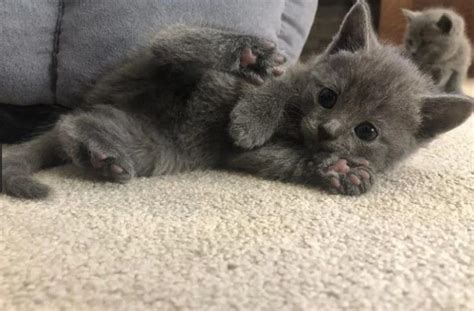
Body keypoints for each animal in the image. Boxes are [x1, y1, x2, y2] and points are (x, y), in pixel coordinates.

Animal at [1, 0, 472, 200]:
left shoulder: (248, 157)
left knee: (72, 128)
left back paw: (102, 156)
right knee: (170, 42)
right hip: (149, 66)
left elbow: (280, 158)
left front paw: (338, 170)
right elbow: (274, 91)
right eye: (327, 97)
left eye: (367, 131)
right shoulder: (293, 75)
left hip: (153, 145)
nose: (328, 129)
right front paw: (251, 118)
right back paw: (247, 53)